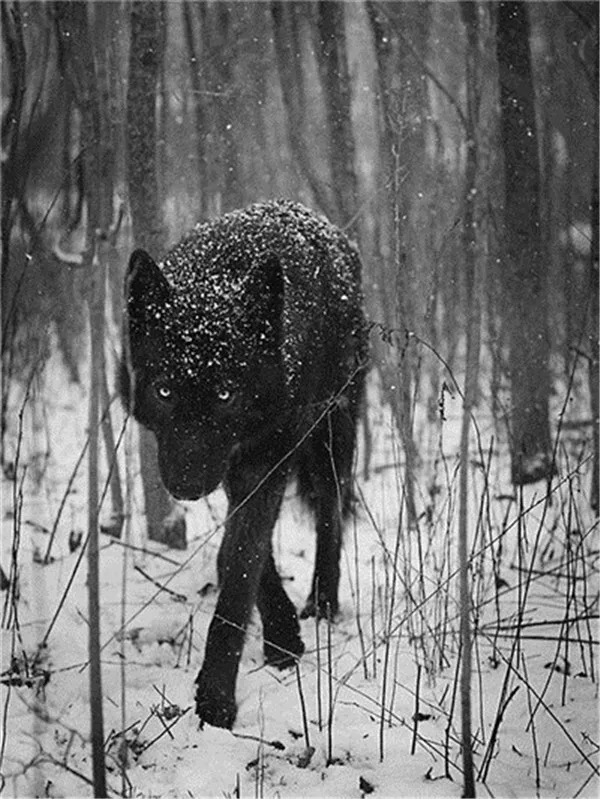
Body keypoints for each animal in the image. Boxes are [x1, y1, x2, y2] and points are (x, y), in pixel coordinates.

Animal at [121, 200, 367, 728]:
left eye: (225, 394)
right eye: (165, 391)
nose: (187, 485)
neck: (217, 275)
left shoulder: (265, 462)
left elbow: (238, 568)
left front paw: (215, 701)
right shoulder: (237, 470)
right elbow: (245, 558)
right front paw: (283, 637)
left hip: (331, 432)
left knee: (332, 514)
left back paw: (322, 603)